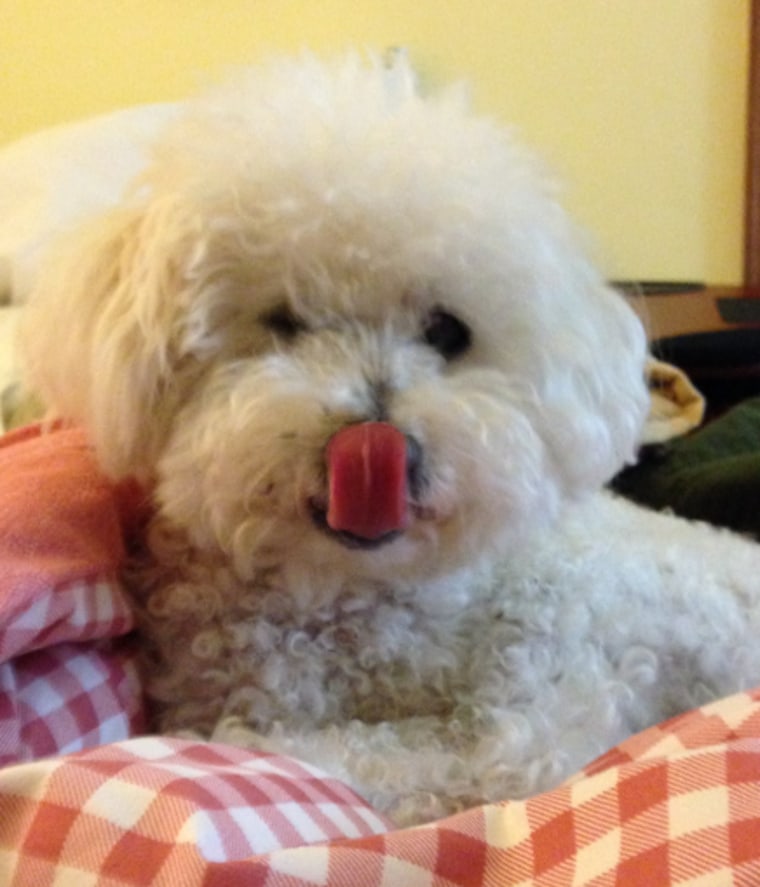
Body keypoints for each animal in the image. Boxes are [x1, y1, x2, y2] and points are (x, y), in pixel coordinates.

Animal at [17, 55, 760, 828]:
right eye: (285, 321)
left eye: (445, 331)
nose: (379, 447)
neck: (366, 605)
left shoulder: (529, 723)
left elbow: (342, 752)